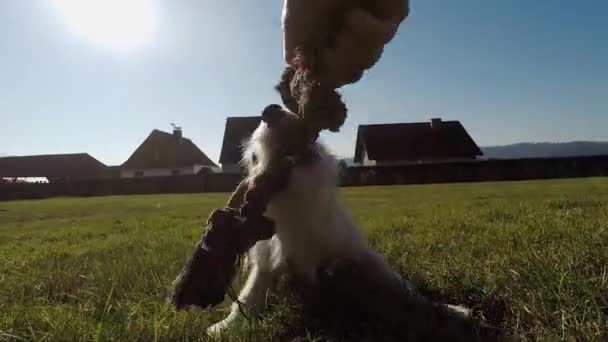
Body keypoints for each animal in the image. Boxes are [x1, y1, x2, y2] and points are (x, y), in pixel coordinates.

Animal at [207, 110, 468, 336]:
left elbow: (405, 288)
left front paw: (452, 311)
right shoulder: (266, 265)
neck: (298, 203)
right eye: (254, 157)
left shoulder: (358, 253)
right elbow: (248, 296)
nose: (271, 110)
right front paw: (224, 327)